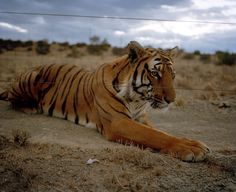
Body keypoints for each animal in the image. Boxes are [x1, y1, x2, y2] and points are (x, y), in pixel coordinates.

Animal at [0, 41, 210, 162]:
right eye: (155, 73)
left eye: (172, 75)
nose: (171, 100)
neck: (138, 98)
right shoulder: (118, 121)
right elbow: (155, 136)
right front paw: (192, 149)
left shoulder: (140, 118)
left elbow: (161, 132)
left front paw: (192, 143)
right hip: (31, 77)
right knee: (11, 98)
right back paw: (30, 107)